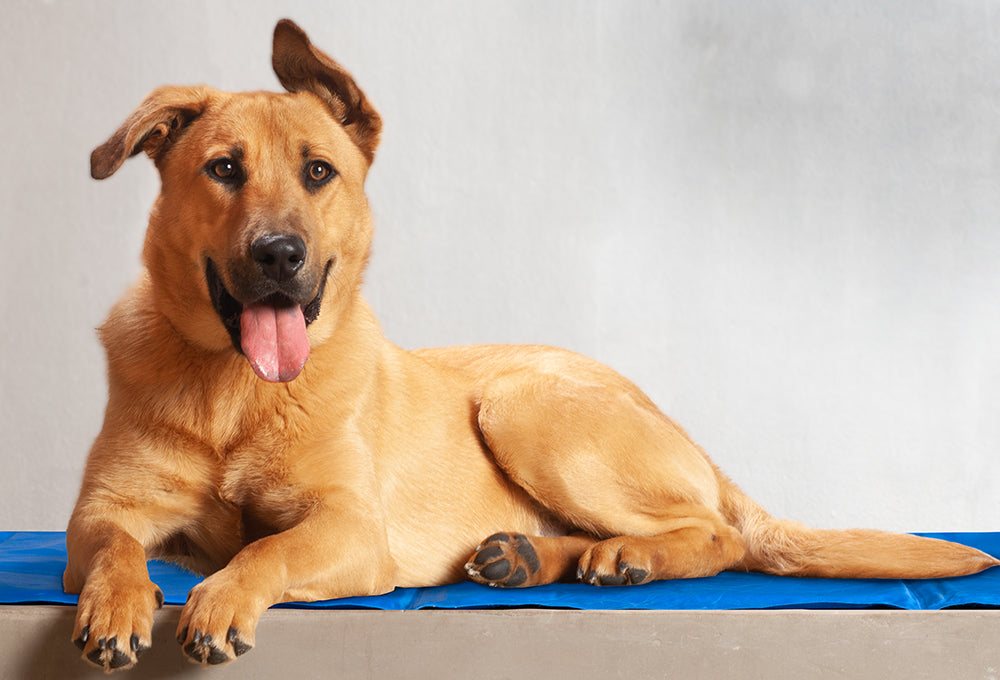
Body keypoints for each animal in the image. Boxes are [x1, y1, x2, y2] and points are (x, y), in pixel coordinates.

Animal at [66, 18, 996, 672]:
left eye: (318, 172)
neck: (235, 389)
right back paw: (533, 557)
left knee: (716, 535)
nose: (278, 256)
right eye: (223, 169)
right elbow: (117, 550)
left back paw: (627, 556)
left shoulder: (350, 527)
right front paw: (119, 607)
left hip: (524, 405)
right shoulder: (102, 512)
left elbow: (268, 547)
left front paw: (220, 599)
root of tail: (680, 428)